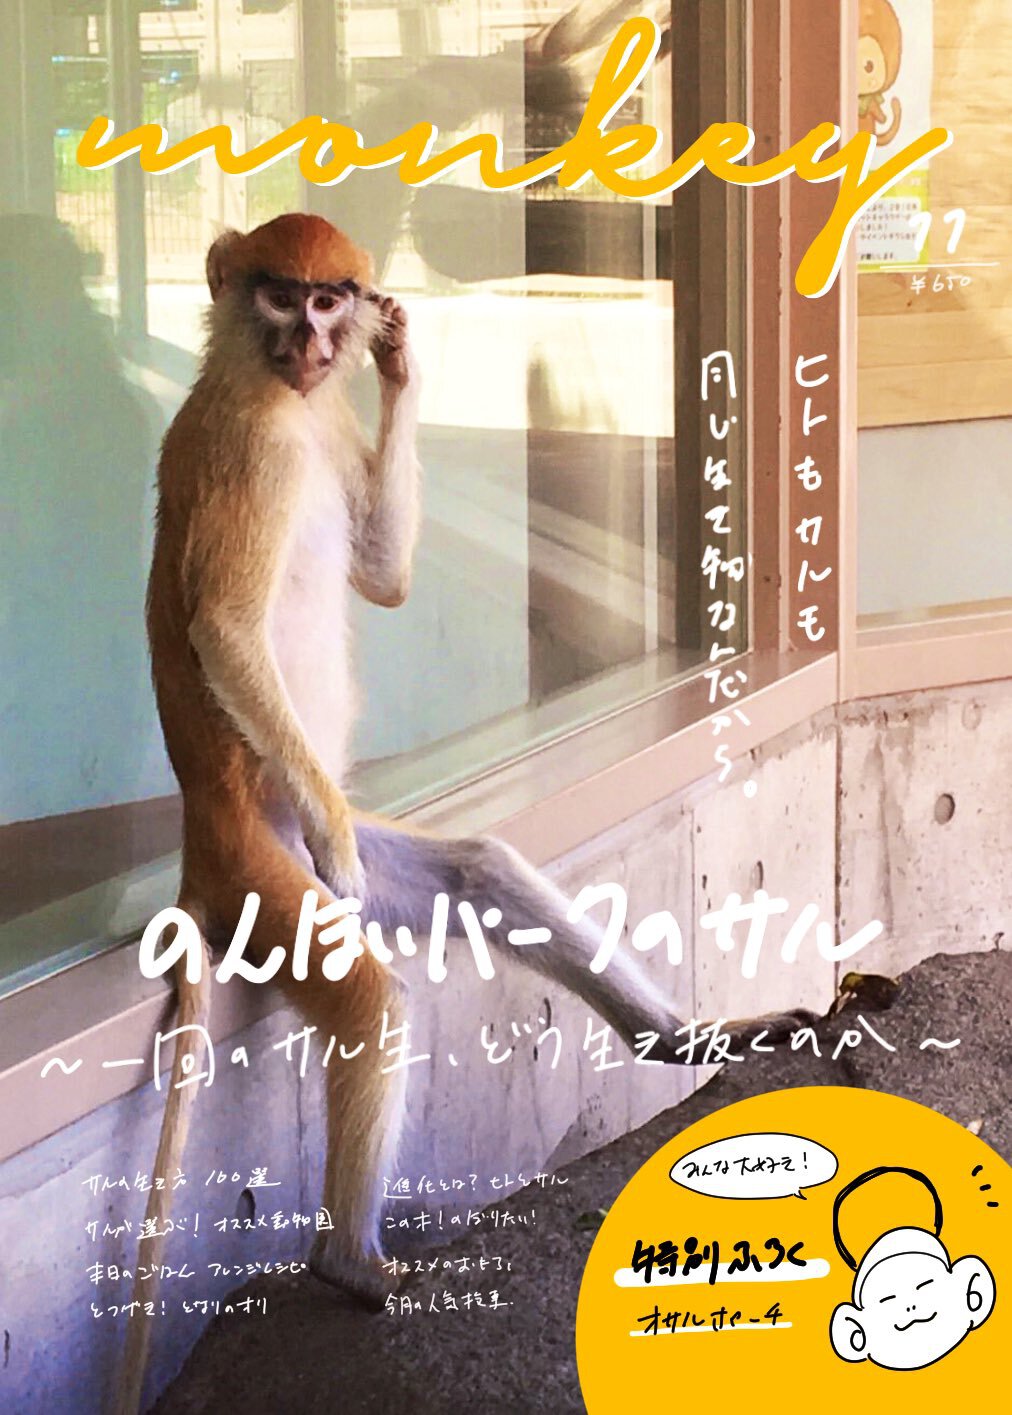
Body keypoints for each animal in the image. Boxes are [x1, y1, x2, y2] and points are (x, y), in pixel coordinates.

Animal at [116, 211, 814, 1414]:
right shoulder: (251, 452)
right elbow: (223, 631)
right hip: (270, 874)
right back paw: (347, 1258)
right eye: (280, 294)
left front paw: (402, 357)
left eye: (333, 297)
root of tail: (203, 854)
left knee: (484, 868)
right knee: (364, 992)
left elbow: (381, 577)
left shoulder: (316, 419)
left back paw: (679, 1037)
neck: (263, 385)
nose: (317, 340)